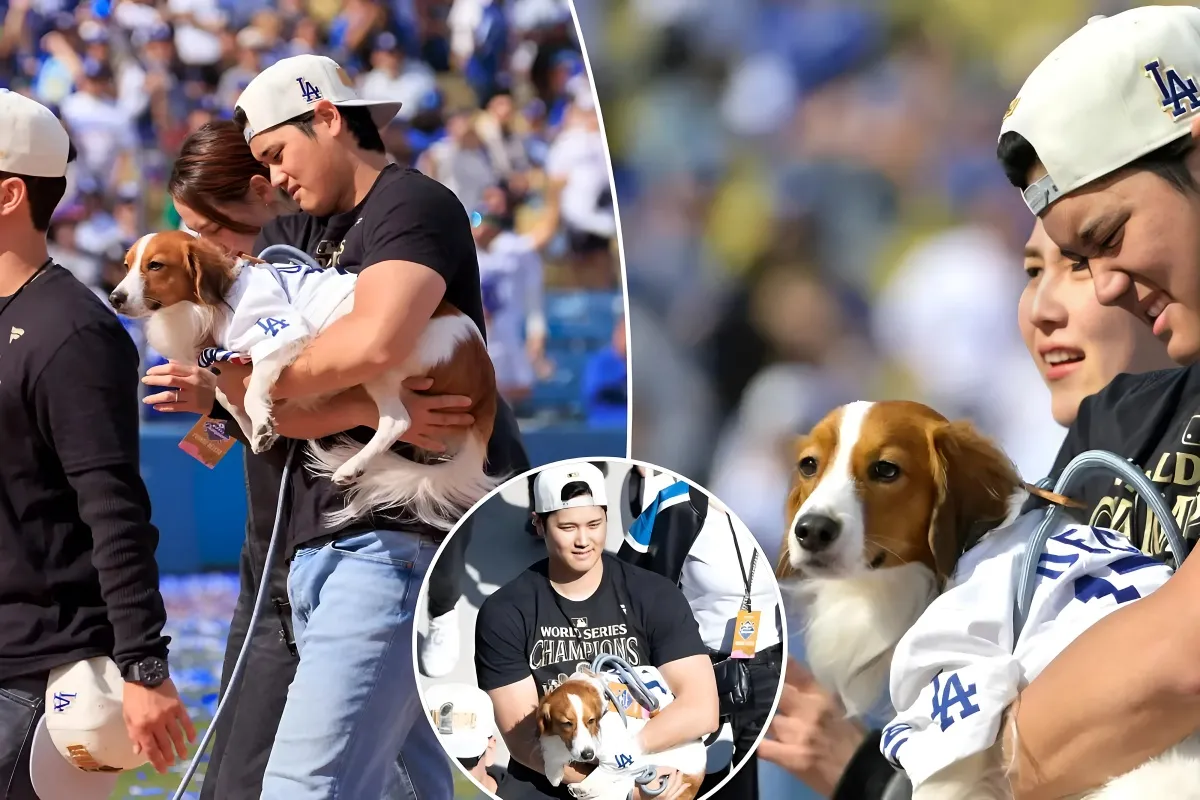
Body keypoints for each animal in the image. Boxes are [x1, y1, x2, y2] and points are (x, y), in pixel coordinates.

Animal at [111, 230, 501, 532]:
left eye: (156, 265)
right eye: (128, 265)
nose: (114, 297)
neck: (213, 299)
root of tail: (486, 382)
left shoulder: (279, 333)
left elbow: (250, 388)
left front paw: (261, 423)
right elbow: (225, 395)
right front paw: (256, 429)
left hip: (379, 357)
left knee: (398, 420)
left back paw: (352, 465)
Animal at [537, 666, 710, 796]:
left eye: (591, 720)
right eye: (566, 723)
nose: (588, 755)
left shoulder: (617, 750)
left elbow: (608, 766)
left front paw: (585, 784)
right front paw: (553, 772)